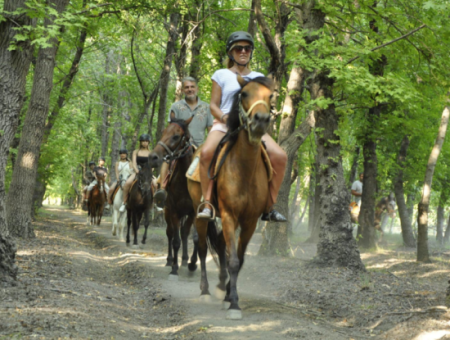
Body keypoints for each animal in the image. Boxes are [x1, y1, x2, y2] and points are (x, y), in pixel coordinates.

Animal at [149, 113, 198, 278]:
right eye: (164, 131)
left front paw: (192, 264)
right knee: (170, 233)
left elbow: (193, 237)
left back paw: (184, 259)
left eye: (176, 136)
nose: (153, 157)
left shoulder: (194, 212)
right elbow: (175, 240)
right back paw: (171, 260)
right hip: (167, 211)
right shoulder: (175, 211)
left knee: (184, 233)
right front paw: (174, 268)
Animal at [187, 75, 274, 320]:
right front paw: (234, 304)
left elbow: (239, 258)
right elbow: (233, 259)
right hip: (200, 212)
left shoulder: (250, 221)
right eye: (244, 94)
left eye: (271, 96)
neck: (244, 169)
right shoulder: (228, 215)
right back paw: (205, 291)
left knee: (220, 246)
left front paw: (228, 295)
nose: (261, 120)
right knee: (202, 247)